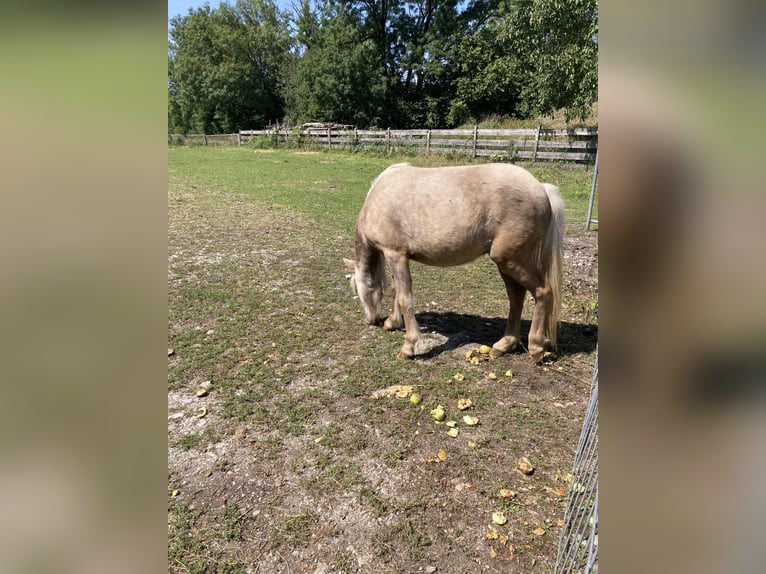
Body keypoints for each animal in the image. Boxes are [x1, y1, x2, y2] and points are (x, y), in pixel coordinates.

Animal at [344, 162, 568, 362]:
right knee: (516, 297)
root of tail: (541, 188)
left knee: (542, 292)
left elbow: (404, 298)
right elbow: (395, 290)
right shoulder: (397, 257)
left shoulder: (395, 255)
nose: (371, 320)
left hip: (510, 260)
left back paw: (535, 347)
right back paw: (504, 344)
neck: (378, 197)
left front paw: (409, 346)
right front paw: (392, 322)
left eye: (358, 290)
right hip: (506, 263)